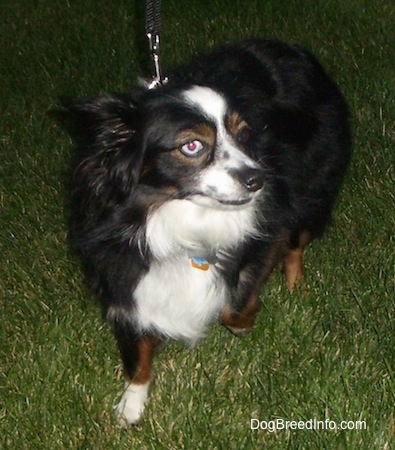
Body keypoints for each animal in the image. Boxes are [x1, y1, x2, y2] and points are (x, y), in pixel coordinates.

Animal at [64, 38, 352, 426]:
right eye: (192, 146)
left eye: (244, 135)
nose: (258, 179)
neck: (178, 216)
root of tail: (293, 50)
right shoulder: (121, 269)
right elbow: (137, 349)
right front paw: (132, 403)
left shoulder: (266, 235)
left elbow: (235, 303)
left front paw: (245, 320)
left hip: (313, 189)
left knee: (296, 242)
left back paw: (296, 287)